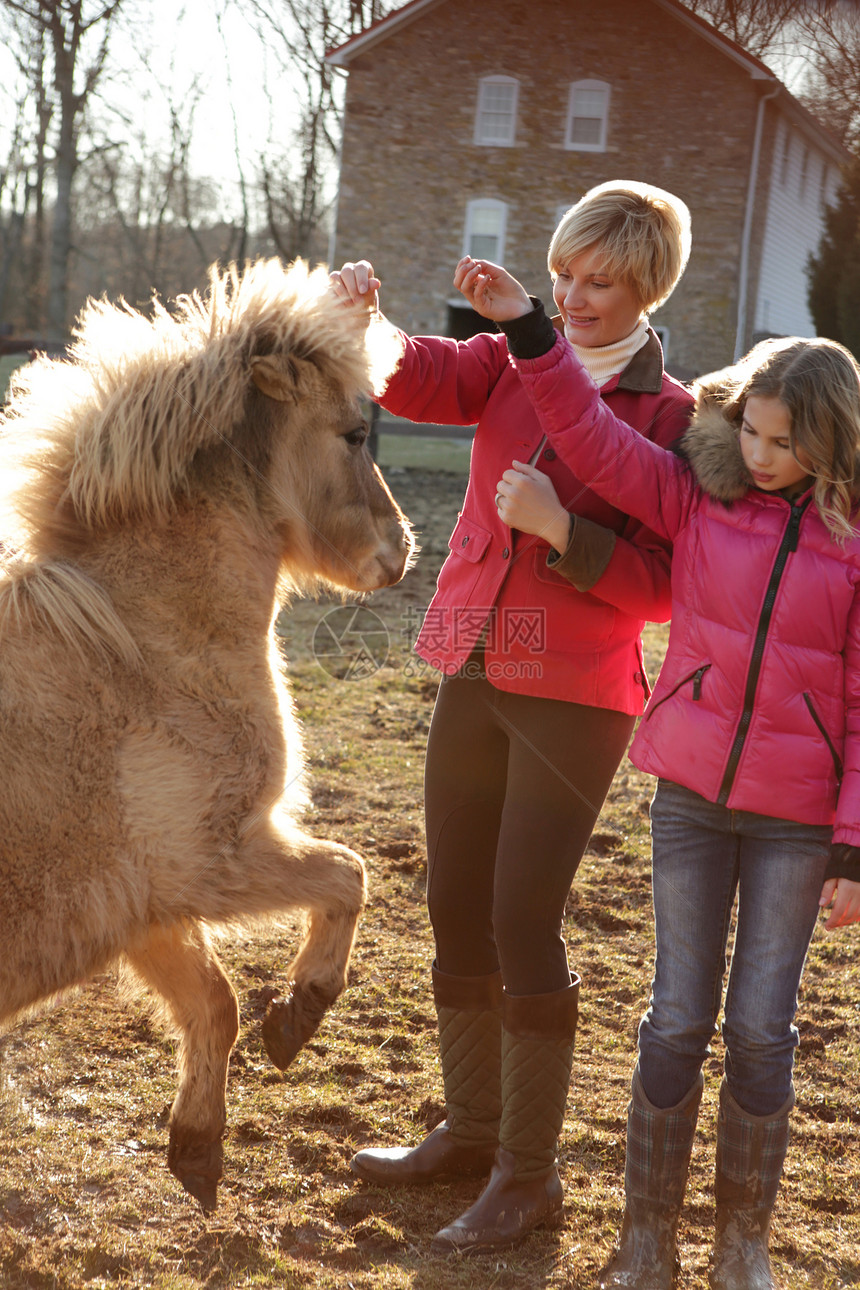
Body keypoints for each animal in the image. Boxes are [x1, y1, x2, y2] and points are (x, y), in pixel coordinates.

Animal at [0, 259, 417, 1207]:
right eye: (354, 432)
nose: (400, 551)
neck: (146, 641)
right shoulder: (212, 863)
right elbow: (348, 874)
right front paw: (300, 1013)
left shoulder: (149, 906)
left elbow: (214, 1005)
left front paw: (196, 1145)